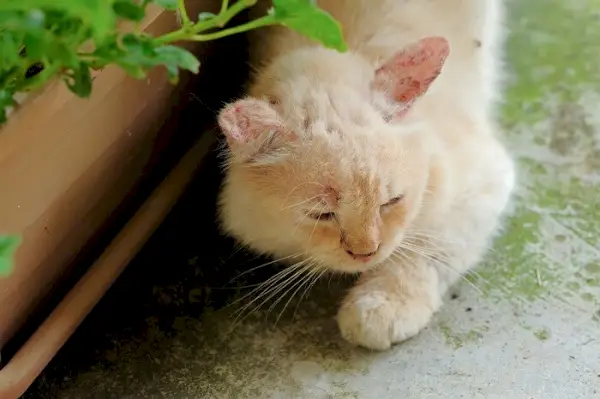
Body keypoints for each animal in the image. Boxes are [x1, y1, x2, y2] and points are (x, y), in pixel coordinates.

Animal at [214, 0, 516, 350]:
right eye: (322, 214)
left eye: (392, 201)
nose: (366, 253)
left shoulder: (483, 180)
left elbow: (426, 247)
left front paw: (382, 306)